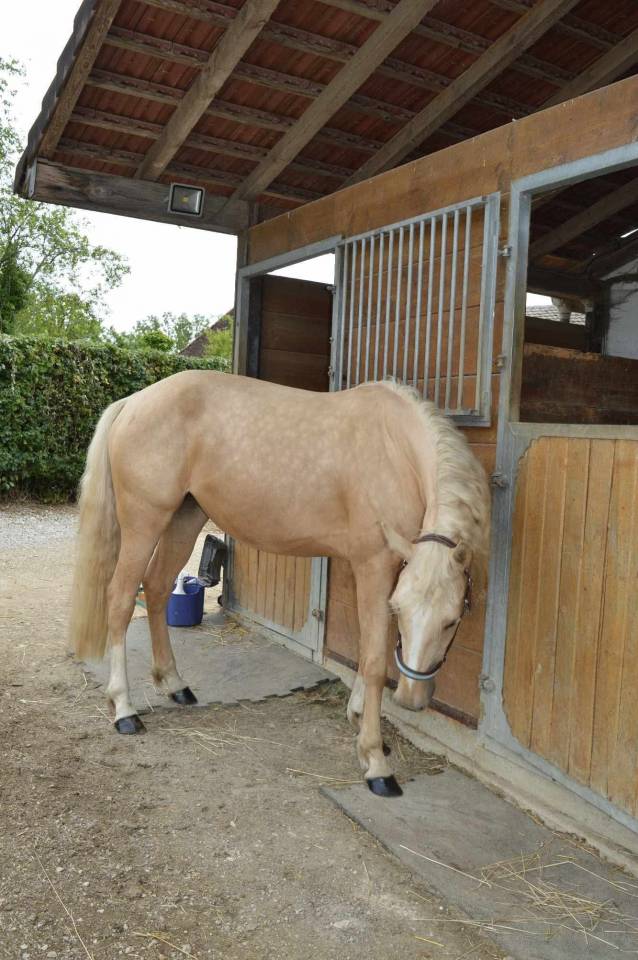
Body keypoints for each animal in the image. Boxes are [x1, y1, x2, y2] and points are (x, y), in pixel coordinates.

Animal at [69, 372, 490, 798]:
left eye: (452, 620)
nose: (411, 699)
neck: (397, 448)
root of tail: (133, 402)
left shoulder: (385, 571)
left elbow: (365, 646)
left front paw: (359, 719)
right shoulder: (374, 564)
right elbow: (373, 661)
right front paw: (376, 761)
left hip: (185, 517)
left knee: (155, 588)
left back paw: (174, 684)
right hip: (145, 522)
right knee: (121, 599)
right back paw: (124, 710)